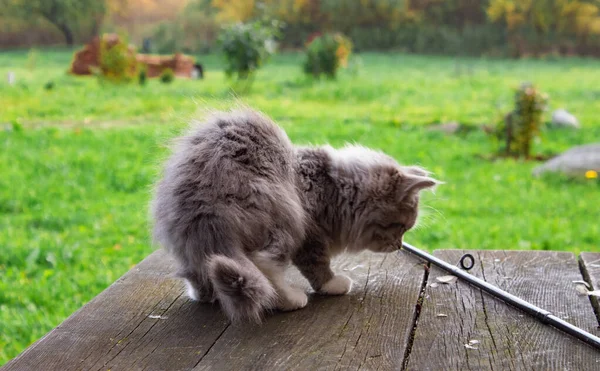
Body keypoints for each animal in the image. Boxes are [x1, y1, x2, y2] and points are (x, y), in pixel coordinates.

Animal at [151, 109, 440, 324]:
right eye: (401, 227)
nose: (399, 246)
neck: (333, 188)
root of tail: (206, 211)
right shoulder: (311, 233)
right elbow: (318, 265)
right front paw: (333, 284)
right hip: (286, 216)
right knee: (266, 265)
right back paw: (291, 299)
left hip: (187, 242)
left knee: (198, 273)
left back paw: (204, 293)